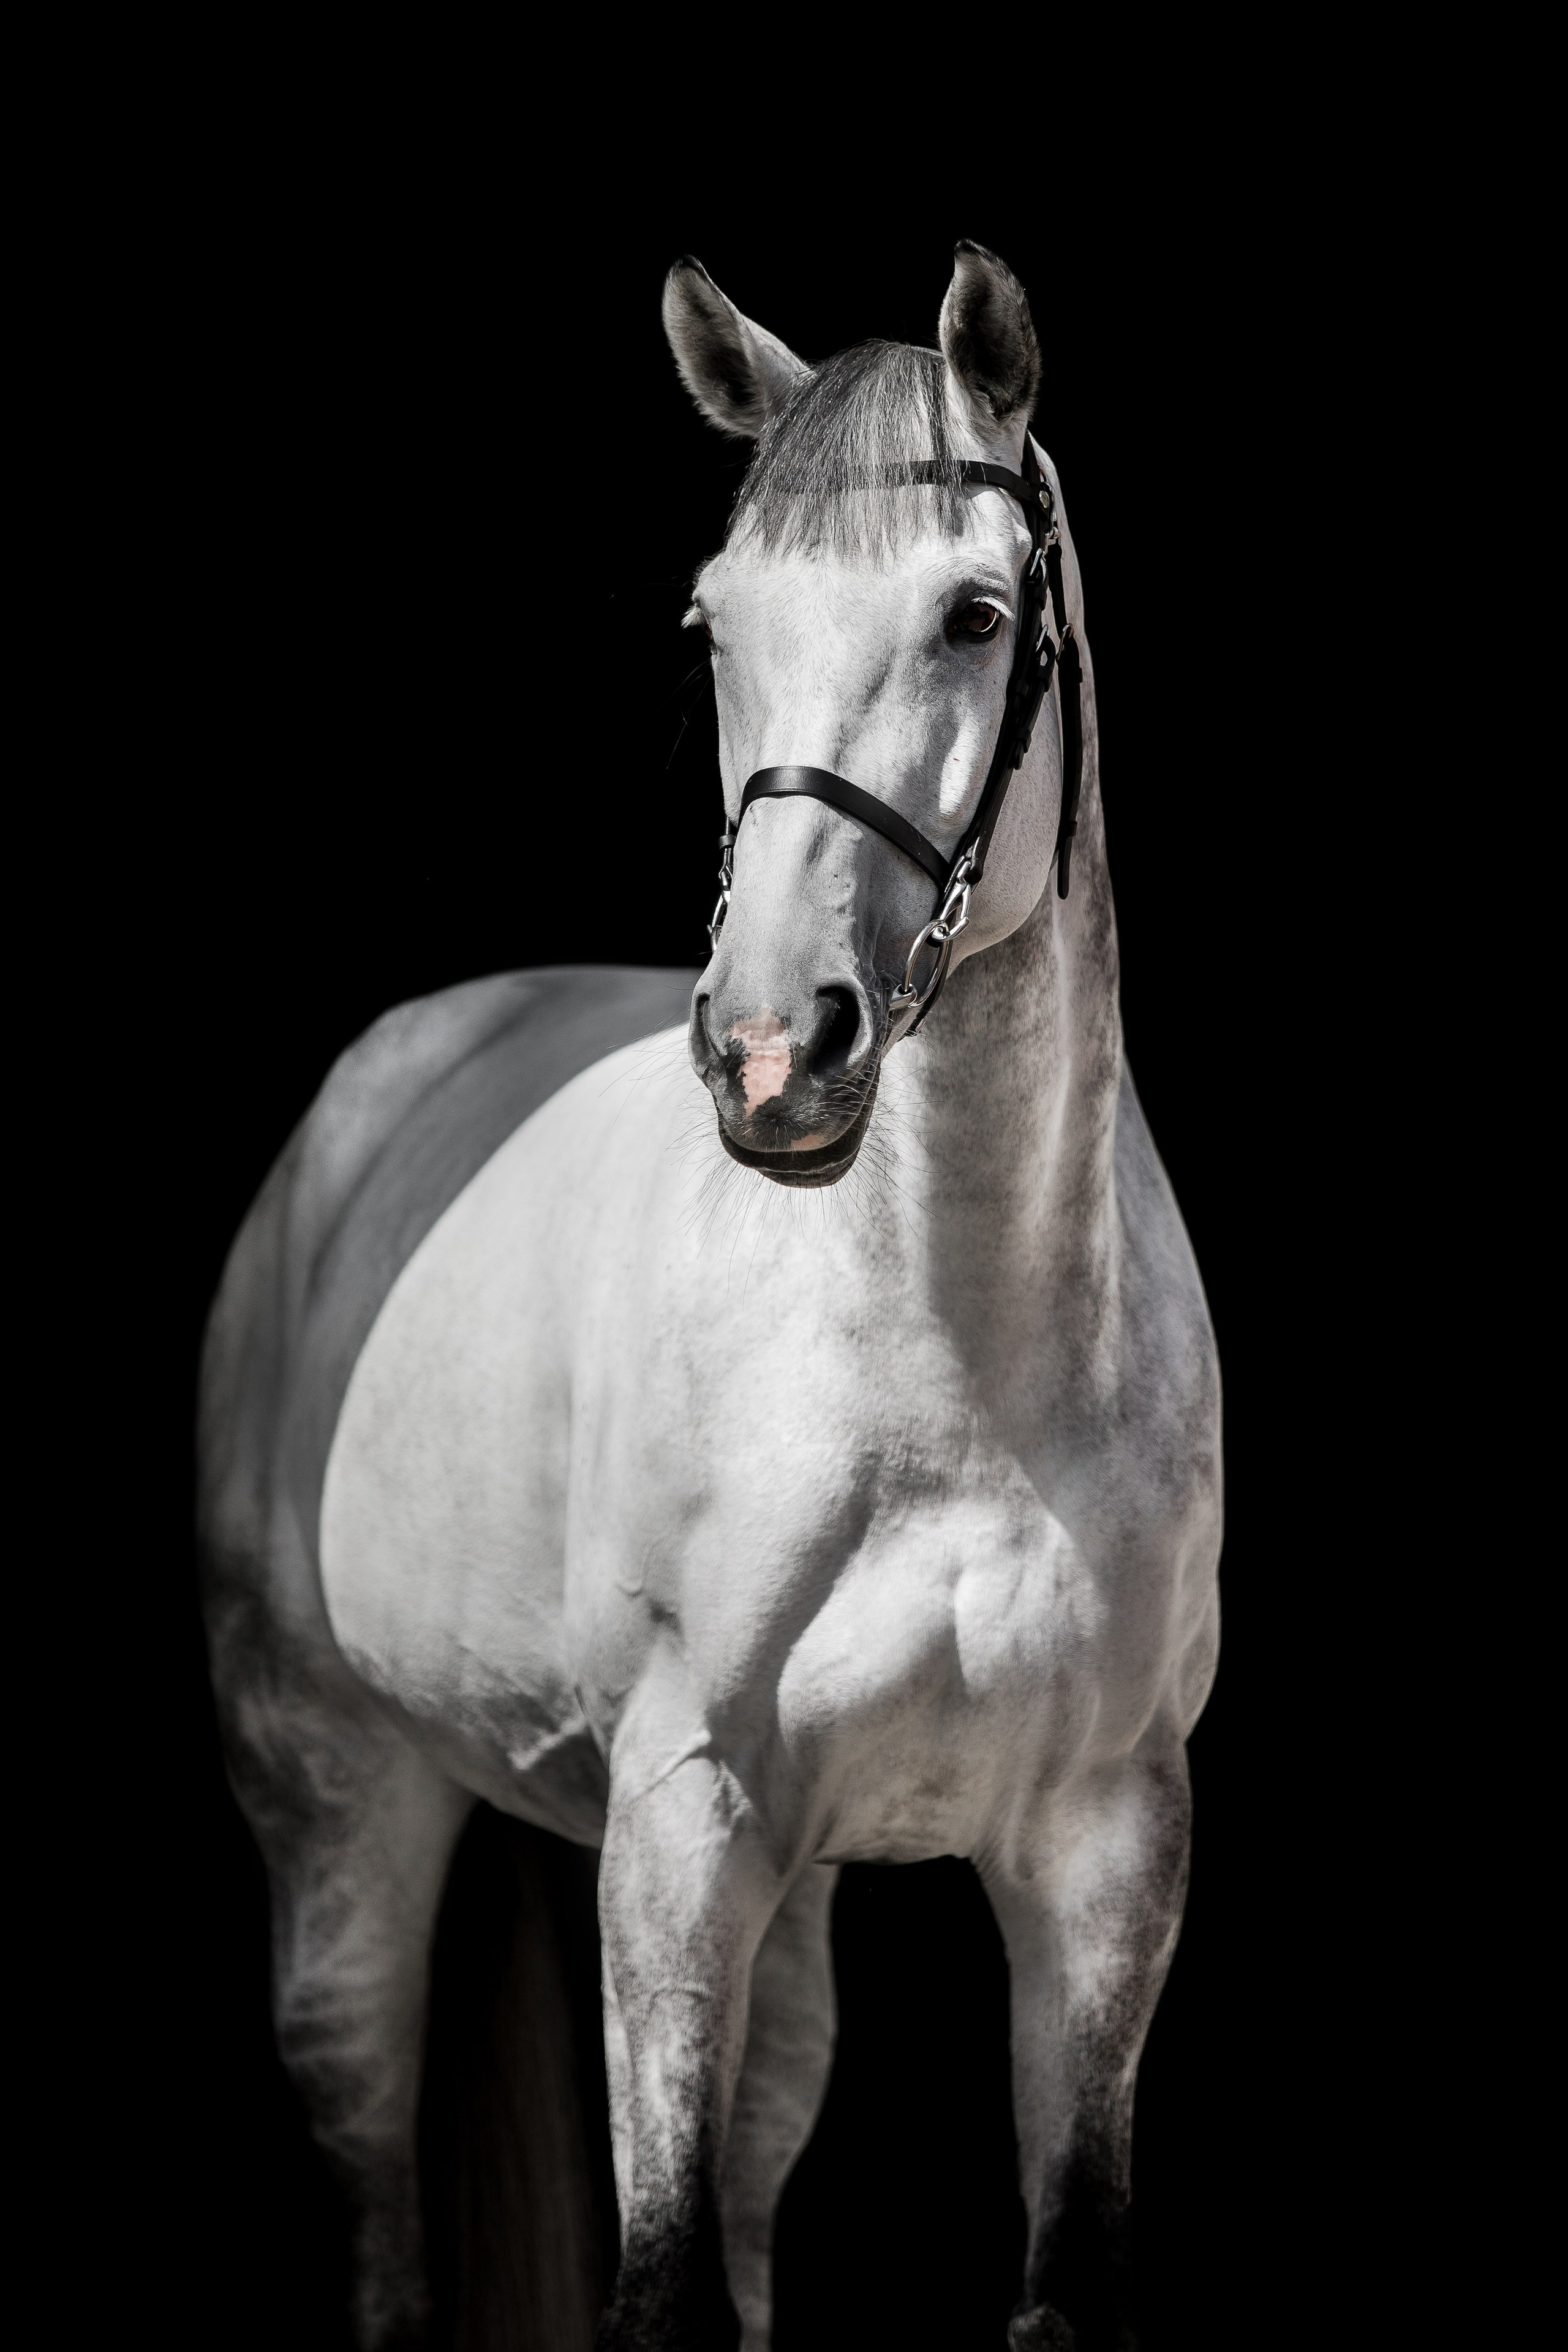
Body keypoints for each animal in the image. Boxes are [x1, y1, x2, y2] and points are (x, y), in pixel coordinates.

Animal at [199, 238, 1221, 2352]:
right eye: (714, 618)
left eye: (975, 613)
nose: (769, 1056)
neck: (959, 1371)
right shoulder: (682, 1828)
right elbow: (657, 2283)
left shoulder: (1103, 1858)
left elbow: (1041, 2276)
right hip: (336, 1817)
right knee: (382, 2214)